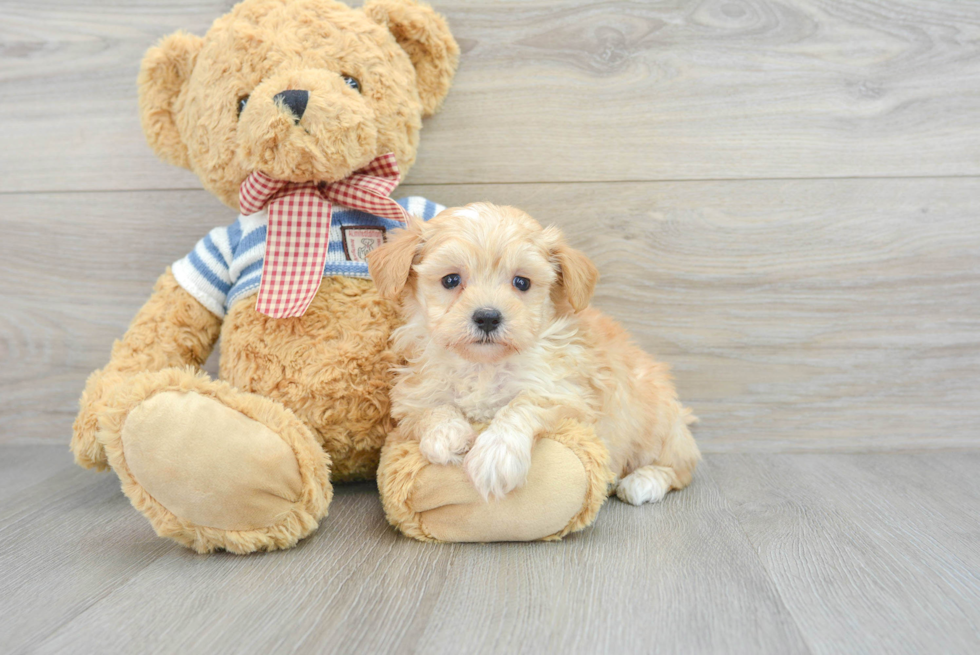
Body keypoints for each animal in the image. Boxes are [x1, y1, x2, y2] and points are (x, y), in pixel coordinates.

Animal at [366, 202, 696, 504]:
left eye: (521, 282)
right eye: (451, 280)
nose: (487, 317)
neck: (483, 366)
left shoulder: (565, 393)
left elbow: (521, 404)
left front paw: (495, 455)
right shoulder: (416, 392)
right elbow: (431, 408)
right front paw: (447, 435)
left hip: (657, 424)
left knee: (679, 468)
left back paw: (643, 482)